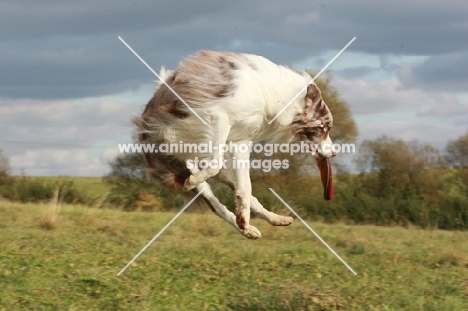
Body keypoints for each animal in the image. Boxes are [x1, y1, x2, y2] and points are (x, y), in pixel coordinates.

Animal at [133, 51, 334, 240]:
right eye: (323, 128)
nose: (333, 154)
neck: (274, 96)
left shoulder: (240, 141)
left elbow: (245, 186)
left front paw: (244, 218)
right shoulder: (218, 117)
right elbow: (214, 164)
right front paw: (192, 180)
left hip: (222, 173)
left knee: (240, 194)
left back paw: (264, 223)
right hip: (177, 166)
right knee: (216, 205)